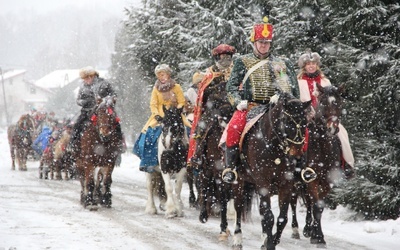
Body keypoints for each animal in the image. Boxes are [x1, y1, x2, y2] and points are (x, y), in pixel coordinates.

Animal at [230, 93, 310, 250]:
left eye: (305, 123)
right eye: (287, 122)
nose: (297, 155)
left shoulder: (287, 184)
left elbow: (282, 218)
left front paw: (271, 240)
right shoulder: (263, 183)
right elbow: (268, 216)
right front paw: (270, 244)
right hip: (239, 181)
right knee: (238, 206)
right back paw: (237, 238)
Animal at [298, 83, 346, 247]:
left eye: (338, 103)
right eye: (323, 103)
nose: (332, 128)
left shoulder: (328, 181)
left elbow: (319, 207)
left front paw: (318, 236)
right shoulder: (311, 179)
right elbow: (314, 204)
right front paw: (316, 235)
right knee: (306, 201)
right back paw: (305, 229)